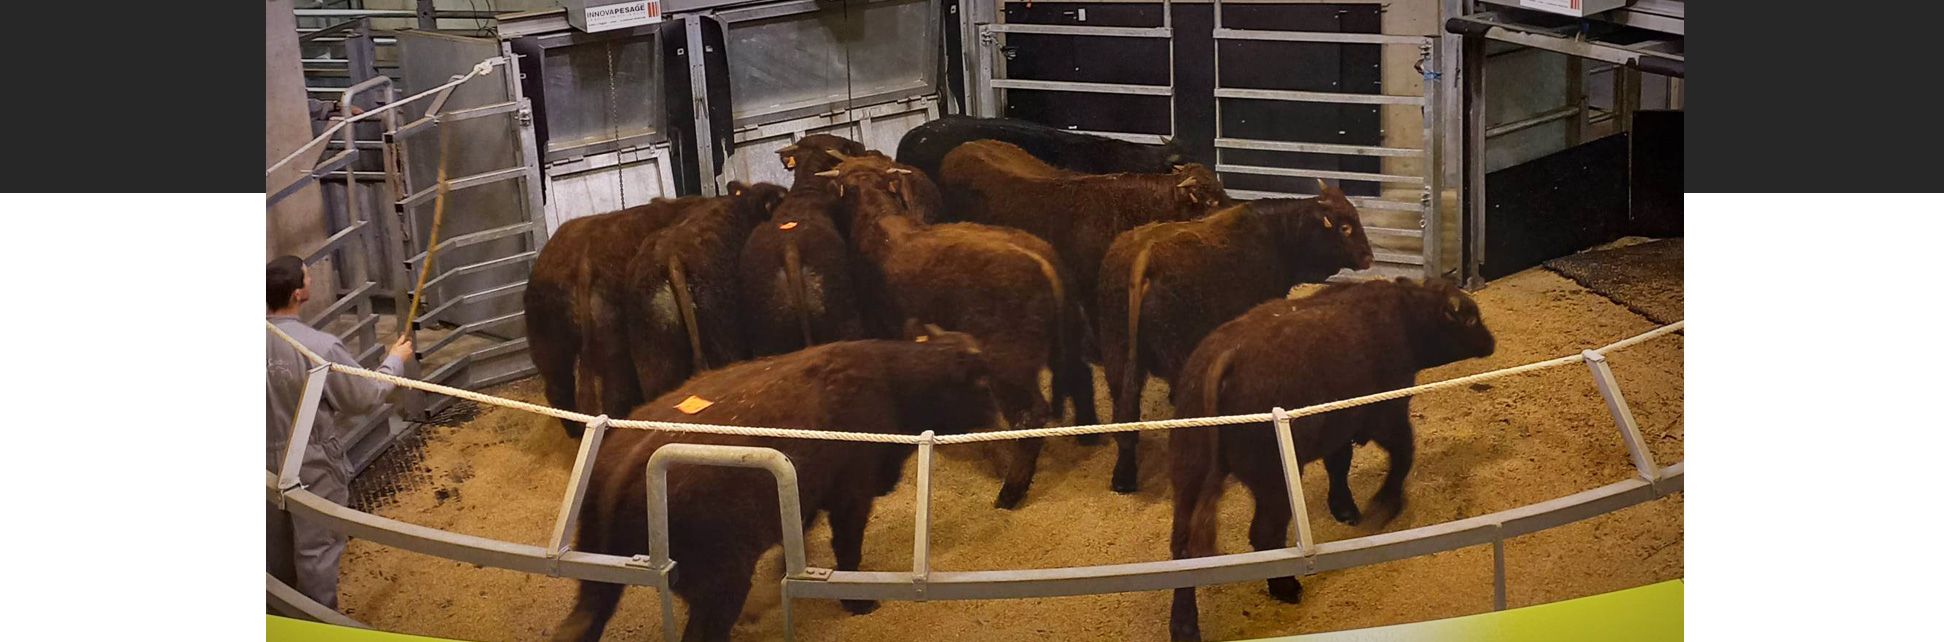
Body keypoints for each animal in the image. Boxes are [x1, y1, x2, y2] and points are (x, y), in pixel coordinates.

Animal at [552, 326, 995, 642]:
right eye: (982, 384)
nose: (998, 418)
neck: (890, 380)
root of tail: (625, 464)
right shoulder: (852, 492)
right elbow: (847, 549)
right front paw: (859, 602)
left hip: (599, 577)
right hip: (722, 582)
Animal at [843, 157, 1104, 509]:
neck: (879, 221)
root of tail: (1041, 260)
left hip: (1009, 362)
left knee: (1030, 415)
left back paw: (1010, 491)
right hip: (1066, 336)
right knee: (1079, 374)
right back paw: (1089, 436)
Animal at [1096, 182, 1384, 494]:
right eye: (1345, 227)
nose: (1368, 257)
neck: (1278, 236)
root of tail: (1145, 257)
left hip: (1118, 356)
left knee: (1125, 414)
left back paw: (1123, 476)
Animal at [1158, 278, 1492, 638]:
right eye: (1470, 318)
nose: (1490, 341)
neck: (1403, 316)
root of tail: (1223, 356)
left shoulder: (1339, 430)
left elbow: (1339, 465)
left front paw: (1344, 508)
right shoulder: (1386, 415)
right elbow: (1403, 454)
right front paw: (1386, 503)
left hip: (1189, 475)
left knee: (1184, 549)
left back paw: (1184, 624)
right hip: (1273, 483)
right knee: (1264, 534)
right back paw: (1285, 587)